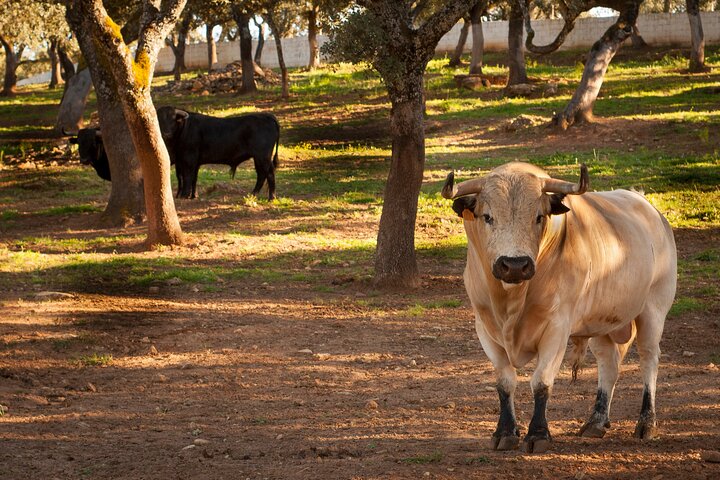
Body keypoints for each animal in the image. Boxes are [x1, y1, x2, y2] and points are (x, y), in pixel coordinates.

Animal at [442, 162, 676, 454]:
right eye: (487, 216)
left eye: (539, 217)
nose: (515, 265)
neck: (511, 303)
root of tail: (648, 207)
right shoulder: (485, 328)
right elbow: (505, 382)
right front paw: (505, 432)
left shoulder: (557, 328)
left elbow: (541, 381)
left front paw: (538, 435)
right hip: (600, 322)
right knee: (608, 363)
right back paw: (596, 421)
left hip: (653, 310)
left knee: (648, 359)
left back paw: (646, 423)